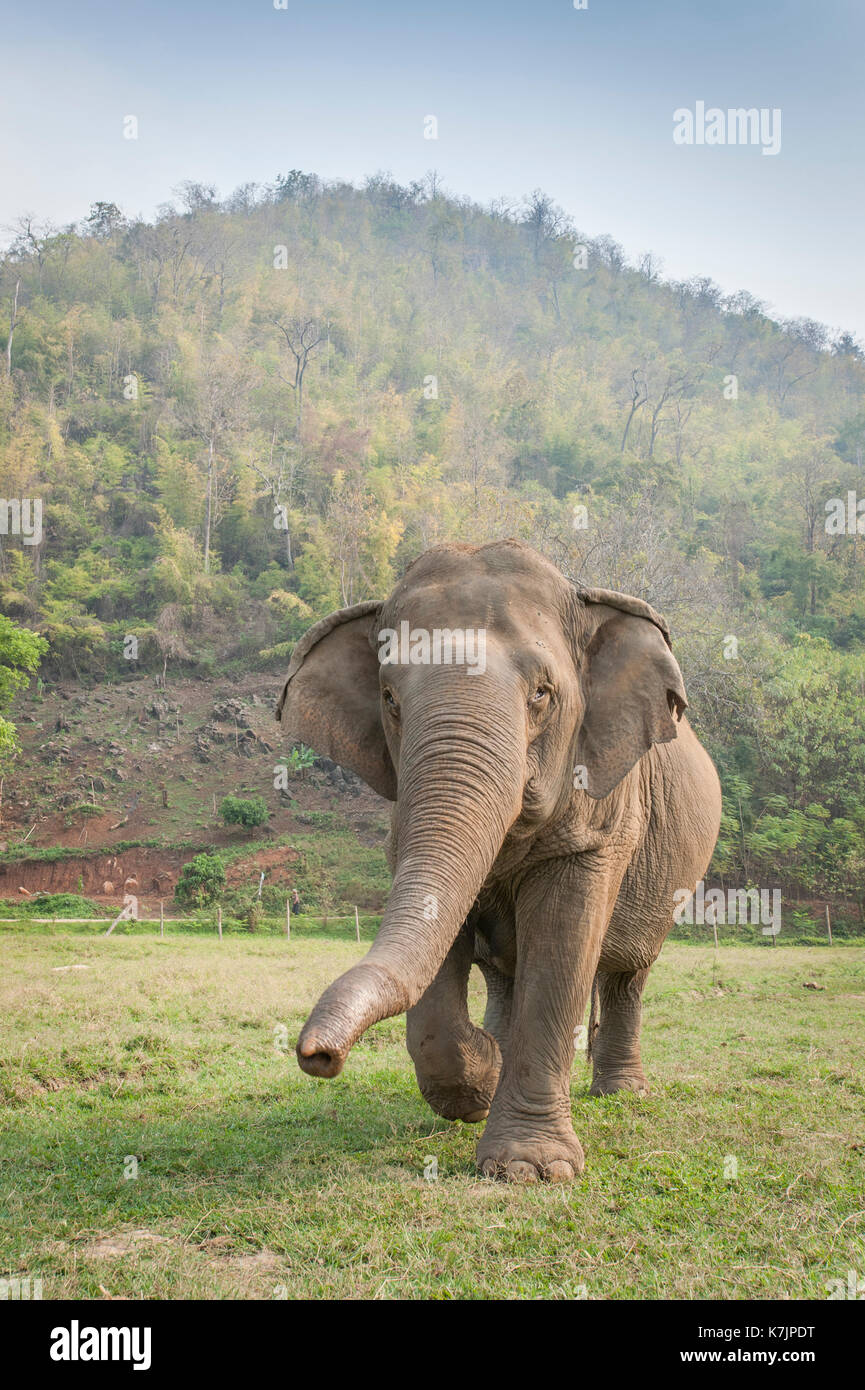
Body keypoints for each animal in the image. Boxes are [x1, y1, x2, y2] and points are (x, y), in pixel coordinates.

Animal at [276, 536, 717, 1178]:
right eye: (389, 698)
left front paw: (530, 1170)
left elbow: (562, 944)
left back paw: (621, 1092)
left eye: (542, 693)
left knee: (627, 973)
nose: (316, 1053)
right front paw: (479, 1084)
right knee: (508, 976)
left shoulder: (601, 813)